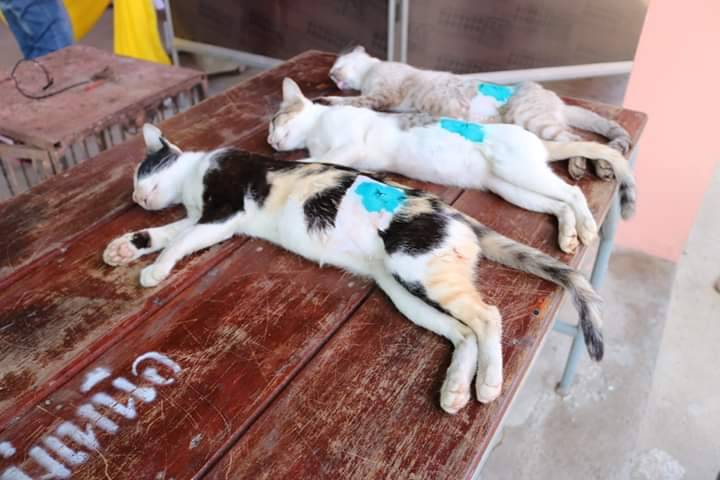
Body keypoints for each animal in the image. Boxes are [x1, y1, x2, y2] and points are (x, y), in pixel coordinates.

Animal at [103, 124, 604, 414]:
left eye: (142, 173)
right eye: (135, 184)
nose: (137, 197)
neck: (192, 181)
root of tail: (457, 215)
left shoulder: (223, 212)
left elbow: (180, 241)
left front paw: (154, 270)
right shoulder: (201, 216)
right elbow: (168, 233)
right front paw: (125, 248)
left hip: (416, 269)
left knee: (488, 315)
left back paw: (488, 382)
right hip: (401, 287)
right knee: (463, 332)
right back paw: (456, 389)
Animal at [270, 78, 636, 254]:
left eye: (274, 120)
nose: (270, 139)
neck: (316, 130)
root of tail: (538, 141)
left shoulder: (350, 145)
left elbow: (315, 159)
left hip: (520, 172)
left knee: (573, 193)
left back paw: (586, 228)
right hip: (511, 187)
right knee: (559, 205)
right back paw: (568, 235)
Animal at [319, 46, 632, 182]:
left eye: (335, 68)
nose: (332, 76)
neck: (372, 68)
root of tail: (555, 99)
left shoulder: (379, 95)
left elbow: (353, 101)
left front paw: (328, 98)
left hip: (533, 120)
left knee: (579, 141)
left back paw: (592, 168)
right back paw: (596, 169)